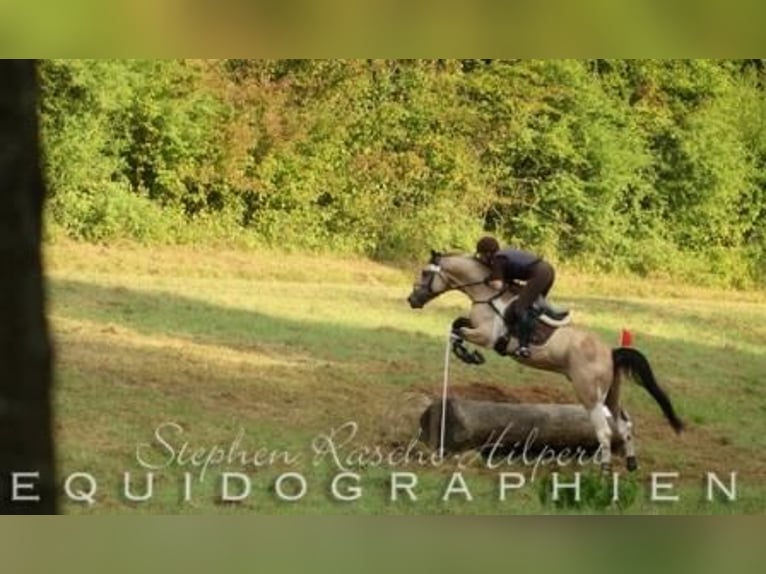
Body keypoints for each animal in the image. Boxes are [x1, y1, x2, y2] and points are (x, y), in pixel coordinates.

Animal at [408, 251, 684, 472]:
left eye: (425, 272)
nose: (412, 300)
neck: (485, 293)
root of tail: (611, 351)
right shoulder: (476, 326)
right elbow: (456, 324)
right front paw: (467, 353)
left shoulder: (487, 336)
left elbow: (457, 331)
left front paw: (469, 355)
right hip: (610, 395)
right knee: (624, 425)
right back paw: (630, 463)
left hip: (589, 393)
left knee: (604, 430)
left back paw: (604, 470)